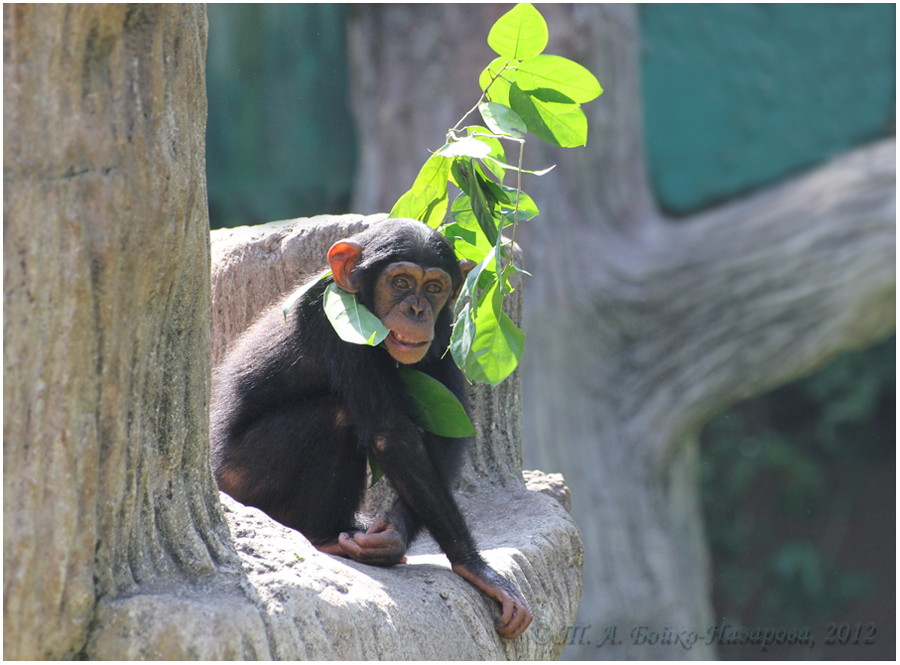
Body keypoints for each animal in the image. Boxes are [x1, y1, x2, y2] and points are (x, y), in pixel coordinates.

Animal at [211, 218, 536, 640]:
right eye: (400, 282)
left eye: (434, 288)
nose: (416, 309)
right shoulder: (344, 333)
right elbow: (392, 436)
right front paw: (477, 568)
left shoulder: (444, 329)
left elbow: (444, 433)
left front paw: (392, 536)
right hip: (243, 480)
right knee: (335, 418)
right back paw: (326, 538)